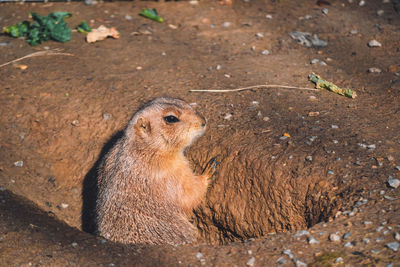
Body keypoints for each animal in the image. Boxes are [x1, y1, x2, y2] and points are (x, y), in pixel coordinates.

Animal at [95, 97, 214, 246]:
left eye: (181, 100)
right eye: (171, 118)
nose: (204, 121)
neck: (145, 149)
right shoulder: (170, 172)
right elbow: (188, 192)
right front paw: (209, 171)